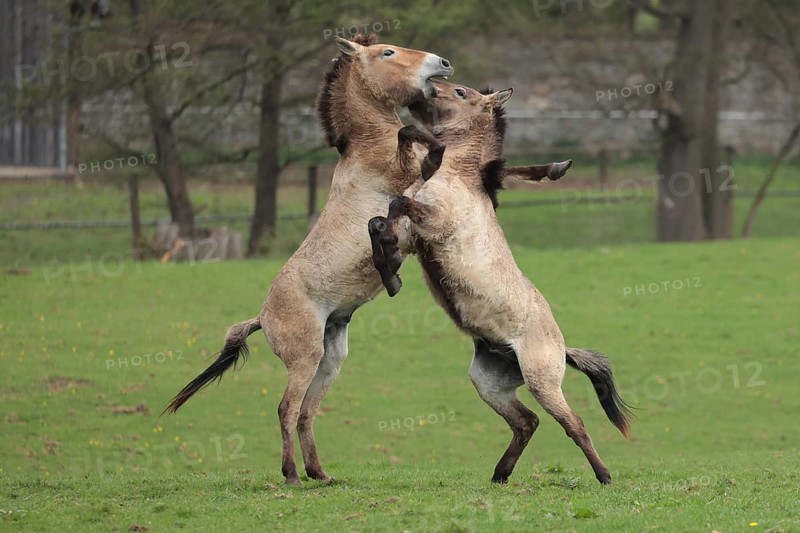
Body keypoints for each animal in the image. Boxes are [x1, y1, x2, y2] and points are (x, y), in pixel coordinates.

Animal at [163, 34, 453, 485]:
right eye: (387, 52)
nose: (442, 64)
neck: (367, 145)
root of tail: (262, 318)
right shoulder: (408, 177)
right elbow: (421, 141)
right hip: (305, 360)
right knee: (287, 408)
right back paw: (292, 474)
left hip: (329, 358)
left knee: (306, 412)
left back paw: (319, 473)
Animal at [369, 81, 631, 484]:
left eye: (460, 91)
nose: (426, 87)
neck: (459, 176)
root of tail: (563, 348)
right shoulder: (415, 234)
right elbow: (379, 222)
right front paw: (390, 273)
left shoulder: (436, 224)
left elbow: (396, 206)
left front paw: (391, 271)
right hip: (489, 382)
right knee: (527, 422)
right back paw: (499, 475)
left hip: (542, 382)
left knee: (574, 424)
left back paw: (604, 476)